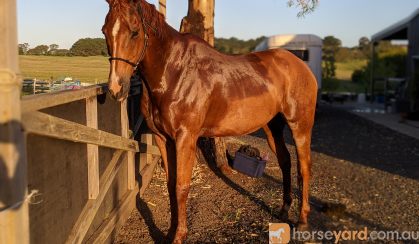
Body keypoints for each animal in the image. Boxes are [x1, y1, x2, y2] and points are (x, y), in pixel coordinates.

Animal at [102, 0, 318, 242]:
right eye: (105, 31)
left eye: (135, 32)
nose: (116, 89)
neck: (174, 72)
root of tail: (301, 66)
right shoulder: (162, 138)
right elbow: (170, 184)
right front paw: (170, 232)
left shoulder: (185, 138)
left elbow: (181, 186)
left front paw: (179, 235)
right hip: (273, 127)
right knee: (285, 161)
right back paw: (284, 210)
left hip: (300, 126)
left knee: (304, 167)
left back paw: (302, 219)